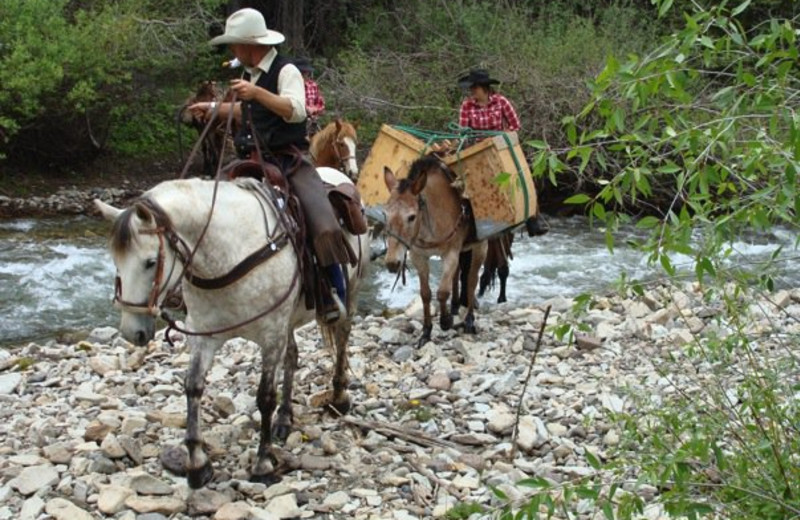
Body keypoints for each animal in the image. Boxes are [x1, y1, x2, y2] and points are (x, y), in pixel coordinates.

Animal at [382, 156, 488, 348]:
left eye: (411, 217)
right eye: (385, 214)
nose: (392, 263)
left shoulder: (450, 254)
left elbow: (442, 291)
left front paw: (445, 321)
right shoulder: (418, 256)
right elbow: (425, 294)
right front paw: (426, 332)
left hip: (480, 246)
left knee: (471, 280)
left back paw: (469, 321)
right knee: (458, 275)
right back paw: (454, 307)